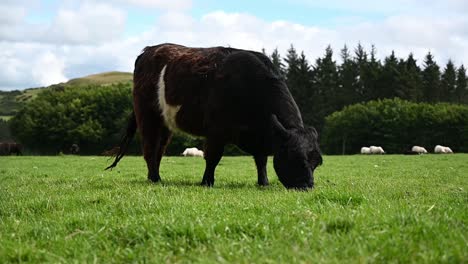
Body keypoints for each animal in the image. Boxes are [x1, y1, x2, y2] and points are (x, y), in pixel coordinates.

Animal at [106, 43, 324, 189]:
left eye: (317, 162)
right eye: (294, 157)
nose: (307, 186)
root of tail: (149, 49)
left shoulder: (260, 134)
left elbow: (261, 160)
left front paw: (263, 183)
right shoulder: (216, 131)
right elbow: (213, 157)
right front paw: (207, 182)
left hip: (165, 123)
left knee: (159, 149)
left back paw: (156, 177)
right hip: (148, 116)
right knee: (150, 149)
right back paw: (154, 179)